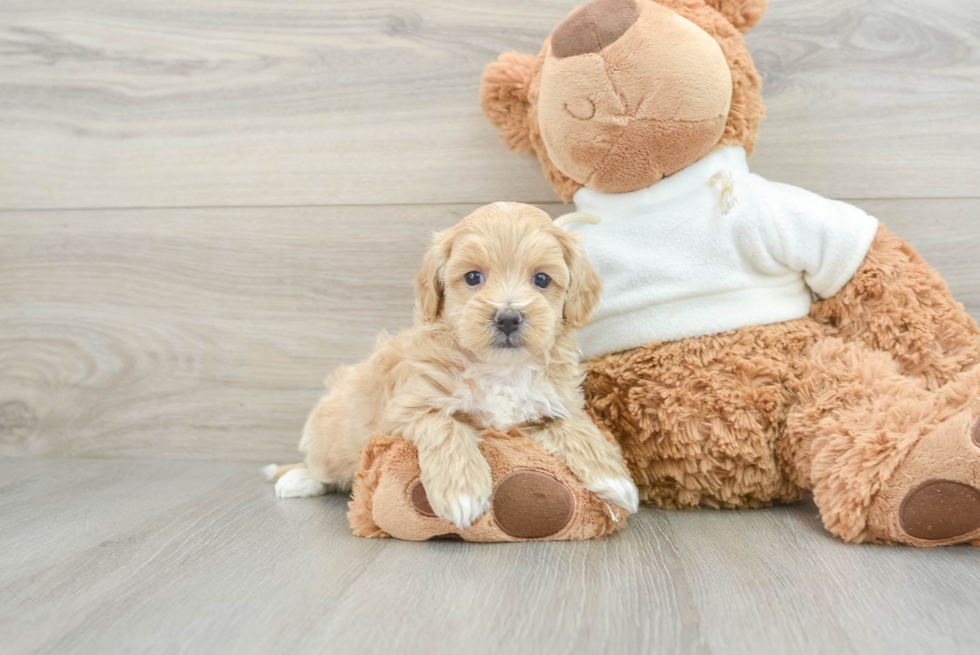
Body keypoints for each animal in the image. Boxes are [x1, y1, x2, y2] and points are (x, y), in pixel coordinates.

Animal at [264, 202, 640, 532]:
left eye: (542, 279)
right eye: (473, 277)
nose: (507, 317)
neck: (500, 369)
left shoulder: (551, 407)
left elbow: (575, 426)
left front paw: (614, 479)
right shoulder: (401, 413)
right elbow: (445, 424)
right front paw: (463, 493)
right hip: (335, 434)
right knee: (322, 465)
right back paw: (297, 478)